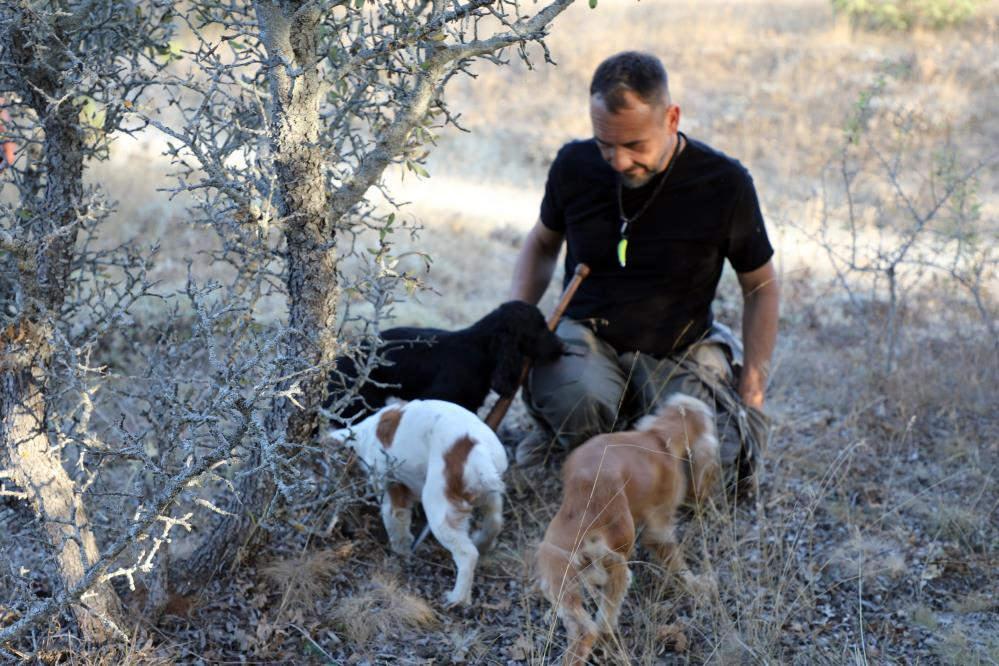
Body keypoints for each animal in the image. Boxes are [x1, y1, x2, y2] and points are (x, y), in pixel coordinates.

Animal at [322, 396, 508, 604]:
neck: (363, 435)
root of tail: (478, 450)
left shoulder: (391, 487)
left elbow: (396, 523)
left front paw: (401, 551)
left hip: (438, 507)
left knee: (467, 554)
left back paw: (457, 598)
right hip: (489, 495)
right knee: (494, 522)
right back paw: (483, 543)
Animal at [536, 392, 724, 660]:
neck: (658, 435)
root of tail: (586, 506)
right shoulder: (659, 525)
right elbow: (677, 563)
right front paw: (695, 584)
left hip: (557, 566)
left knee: (577, 619)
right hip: (618, 561)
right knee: (598, 621)